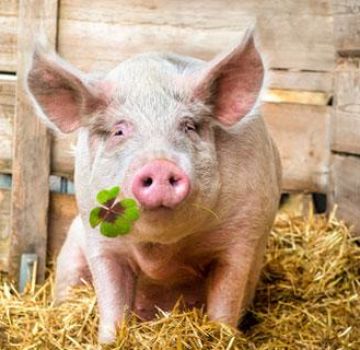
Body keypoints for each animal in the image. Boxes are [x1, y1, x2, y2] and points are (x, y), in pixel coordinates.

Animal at [26, 28, 282, 344]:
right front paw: (109, 341)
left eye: (188, 126)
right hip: (71, 247)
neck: (161, 251)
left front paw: (220, 335)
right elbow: (112, 300)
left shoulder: (242, 236)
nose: (160, 165)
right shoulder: (99, 239)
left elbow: (225, 299)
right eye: (119, 130)